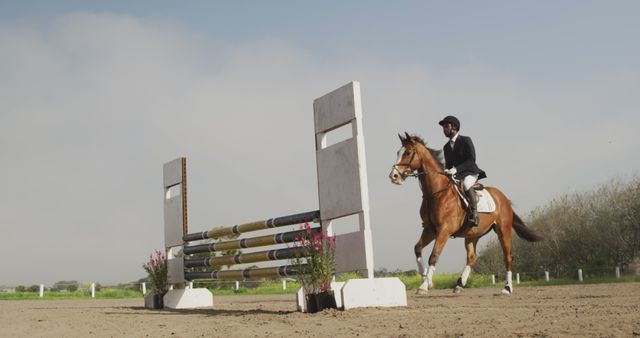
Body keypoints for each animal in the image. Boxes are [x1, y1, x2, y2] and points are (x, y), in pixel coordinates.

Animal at [388, 133, 544, 294]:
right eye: (398, 152)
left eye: (408, 152)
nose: (394, 176)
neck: (436, 193)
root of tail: (504, 199)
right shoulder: (430, 229)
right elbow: (417, 248)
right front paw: (426, 278)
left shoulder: (444, 229)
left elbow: (434, 255)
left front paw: (424, 286)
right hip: (472, 234)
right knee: (471, 257)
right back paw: (459, 284)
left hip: (503, 231)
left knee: (508, 256)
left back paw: (507, 288)